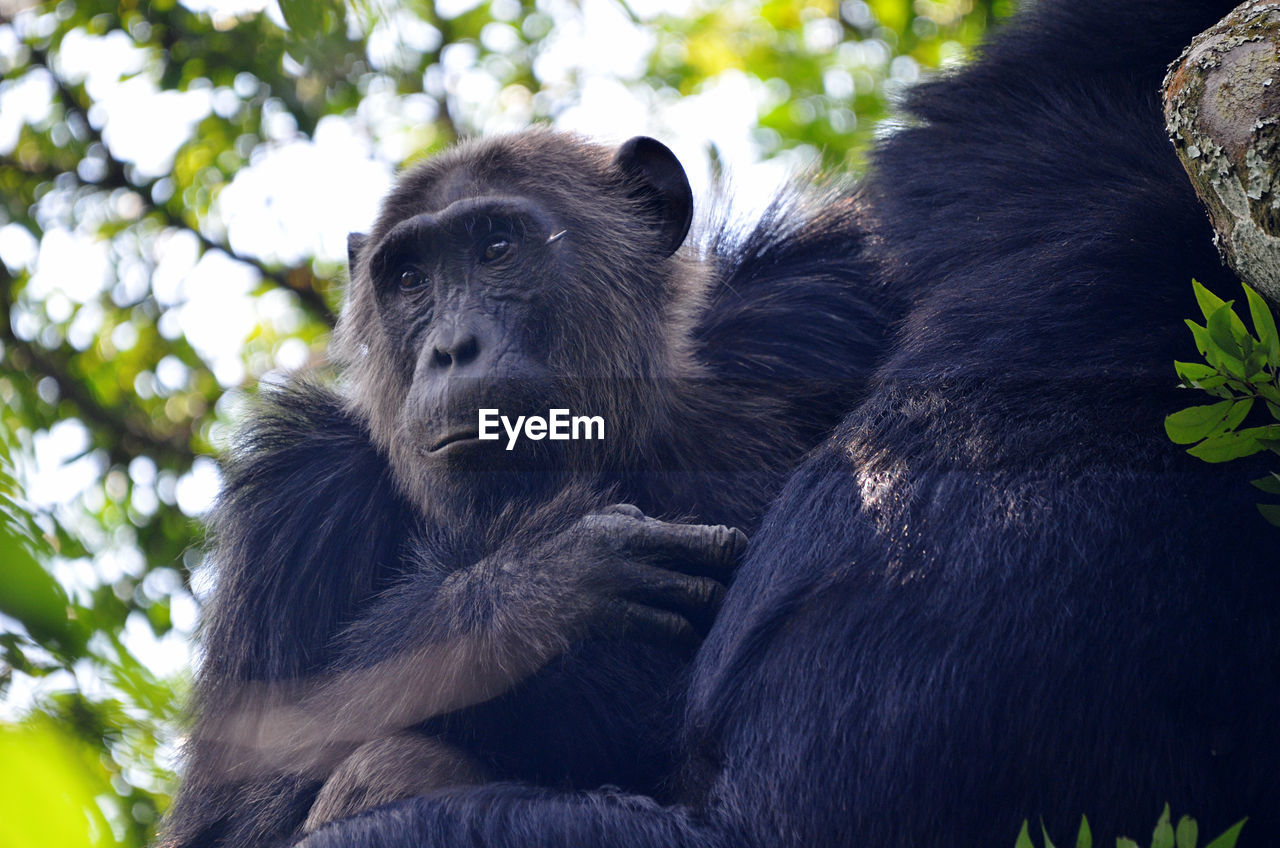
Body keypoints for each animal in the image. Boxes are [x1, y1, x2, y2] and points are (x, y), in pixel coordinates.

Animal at [160, 134, 890, 848]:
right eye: (411, 279)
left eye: (496, 250)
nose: (452, 347)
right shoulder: (297, 509)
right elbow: (234, 818)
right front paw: (543, 588)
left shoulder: (804, 303)